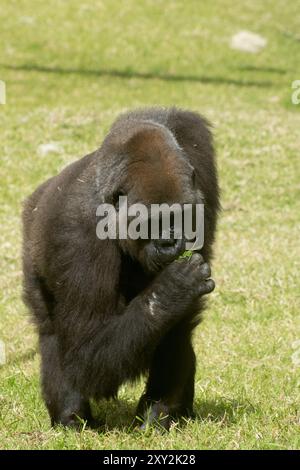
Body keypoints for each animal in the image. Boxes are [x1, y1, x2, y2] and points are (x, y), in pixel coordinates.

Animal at [22, 106, 219, 430]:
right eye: (151, 222)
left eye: (178, 217)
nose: (169, 243)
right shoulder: (78, 236)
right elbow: (86, 353)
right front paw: (172, 290)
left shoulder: (196, 155)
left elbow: (178, 327)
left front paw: (159, 408)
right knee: (52, 334)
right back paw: (70, 417)